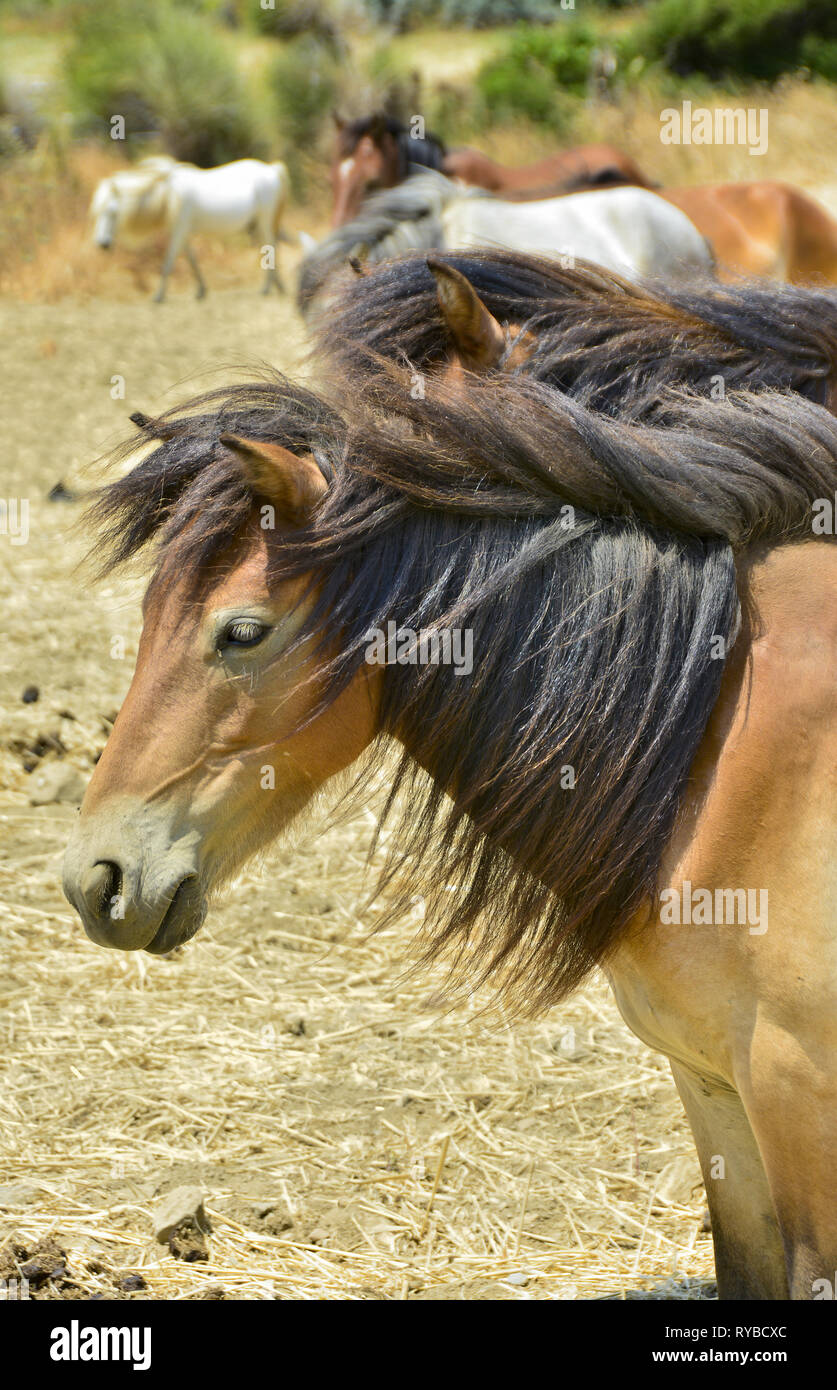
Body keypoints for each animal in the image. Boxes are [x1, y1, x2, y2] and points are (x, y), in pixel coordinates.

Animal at [91, 157, 290, 302]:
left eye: (112, 211)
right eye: (96, 212)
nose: (103, 244)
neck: (169, 194)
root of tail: (271, 169)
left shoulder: (179, 231)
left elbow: (168, 261)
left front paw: (158, 296)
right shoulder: (183, 232)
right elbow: (191, 259)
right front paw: (201, 290)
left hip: (264, 221)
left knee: (271, 246)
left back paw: (268, 288)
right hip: (256, 225)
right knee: (269, 247)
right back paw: (277, 286)